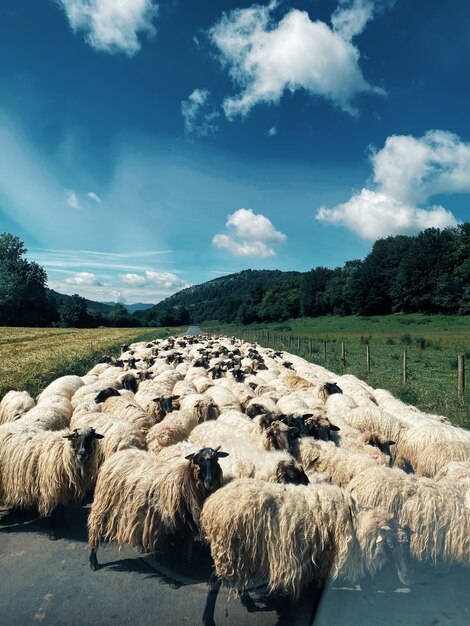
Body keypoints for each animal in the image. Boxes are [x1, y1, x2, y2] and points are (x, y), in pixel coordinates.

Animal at [89, 444, 229, 572]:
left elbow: (183, 546)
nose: (209, 481)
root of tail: (118, 455)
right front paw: (174, 567)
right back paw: (93, 561)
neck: (183, 479)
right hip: (103, 504)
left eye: (216, 460)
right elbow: (173, 547)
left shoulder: (185, 526)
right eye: (198, 461)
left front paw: (183, 566)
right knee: (96, 528)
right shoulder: (172, 524)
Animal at [200, 478, 414, 624]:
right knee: (213, 580)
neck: (356, 524)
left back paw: (248, 603)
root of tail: (213, 503)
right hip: (229, 548)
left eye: (405, 546)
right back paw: (207, 618)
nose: (407, 579)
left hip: (241, 553)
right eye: (391, 544)